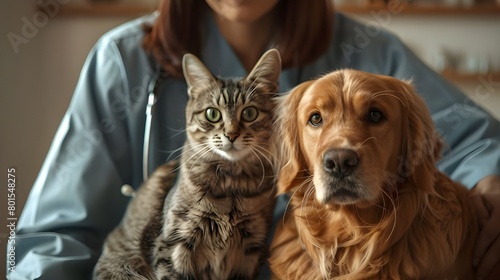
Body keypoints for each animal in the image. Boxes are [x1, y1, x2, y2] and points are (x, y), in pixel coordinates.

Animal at [94, 49, 282, 278]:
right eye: (212, 114)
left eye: (249, 113)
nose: (231, 135)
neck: (231, 189)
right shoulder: (174, 243)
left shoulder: (252, 249)